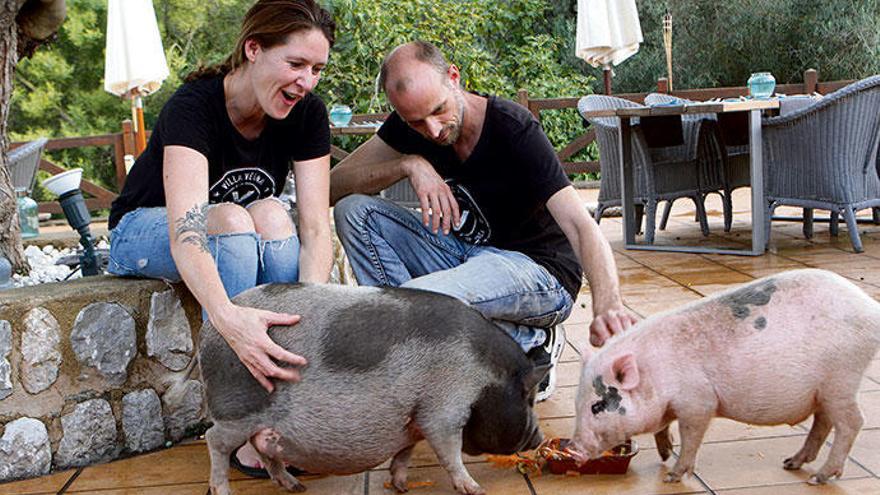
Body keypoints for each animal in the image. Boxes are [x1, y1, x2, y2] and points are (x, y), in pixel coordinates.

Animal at [199, 282, 548, 495]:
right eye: (528, 398)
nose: (539, 437)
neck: (486, 375)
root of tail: (208, 331)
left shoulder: (412, 421)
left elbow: (405, 455)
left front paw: (401, 486)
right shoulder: (443, 408)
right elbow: (449, 451)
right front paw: (475, 489)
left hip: (262, 422)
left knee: (262, 447)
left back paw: (295, 486)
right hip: (237, 409)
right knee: (215, 440)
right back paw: (223, 490)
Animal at [568, 270, 880, 486]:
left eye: (597, 406)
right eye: (577, 402)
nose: (573, 449)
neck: (654, 373)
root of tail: (870, 308)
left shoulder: (698, 401)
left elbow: (691, 435)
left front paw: (673, 475)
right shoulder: (670, 405)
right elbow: (662, 427)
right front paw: (665, 454)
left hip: (841, 377)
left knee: (852, 422)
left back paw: (819, 478)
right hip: (825, 390)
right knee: (824, 423)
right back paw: (791, 463)